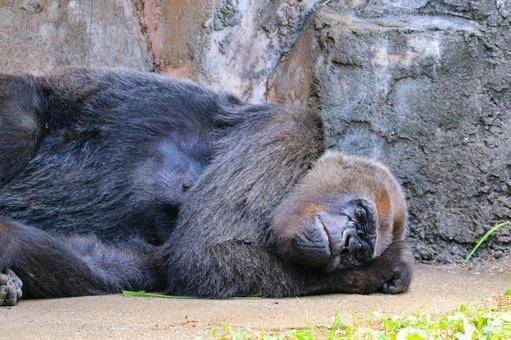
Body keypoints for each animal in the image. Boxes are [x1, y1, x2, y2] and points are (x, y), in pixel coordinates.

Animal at [0, 68, 412, 306]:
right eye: (359, 215)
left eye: (360, 250)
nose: (346, 243)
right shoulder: (286, 130)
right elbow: (206, 254)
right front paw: (382, 268)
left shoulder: (148, 265)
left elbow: (96, 260)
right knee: (22, 119)